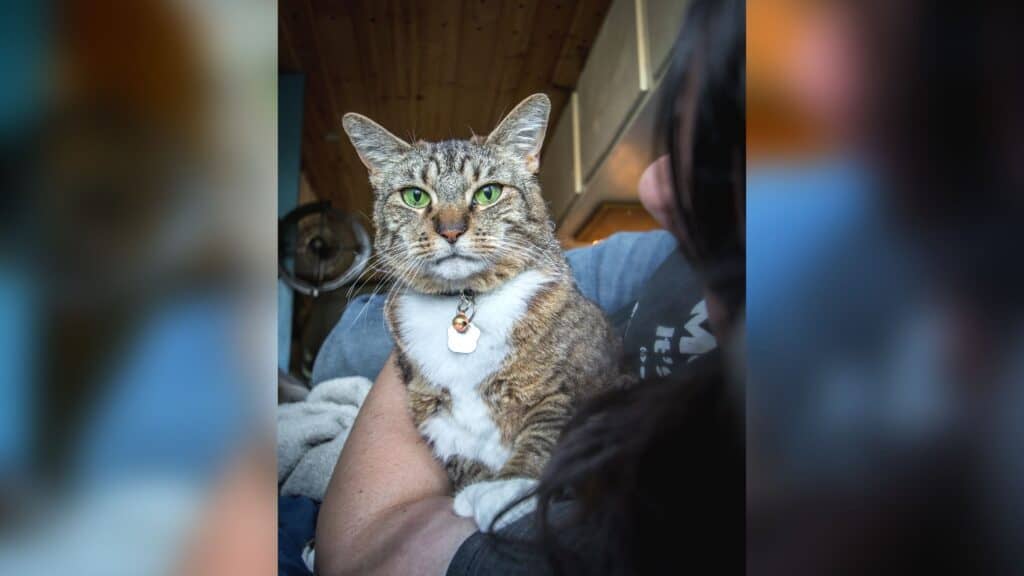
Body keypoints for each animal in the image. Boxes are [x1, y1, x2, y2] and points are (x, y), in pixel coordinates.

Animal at [344, 94, 614, 528]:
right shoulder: (433, 414)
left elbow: (548, 430)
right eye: (415, 196)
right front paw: (478, 486)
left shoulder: (569, 385)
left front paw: (507, 490)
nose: (451, 230)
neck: (465, 300)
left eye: (488, 192)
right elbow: (462, 457)